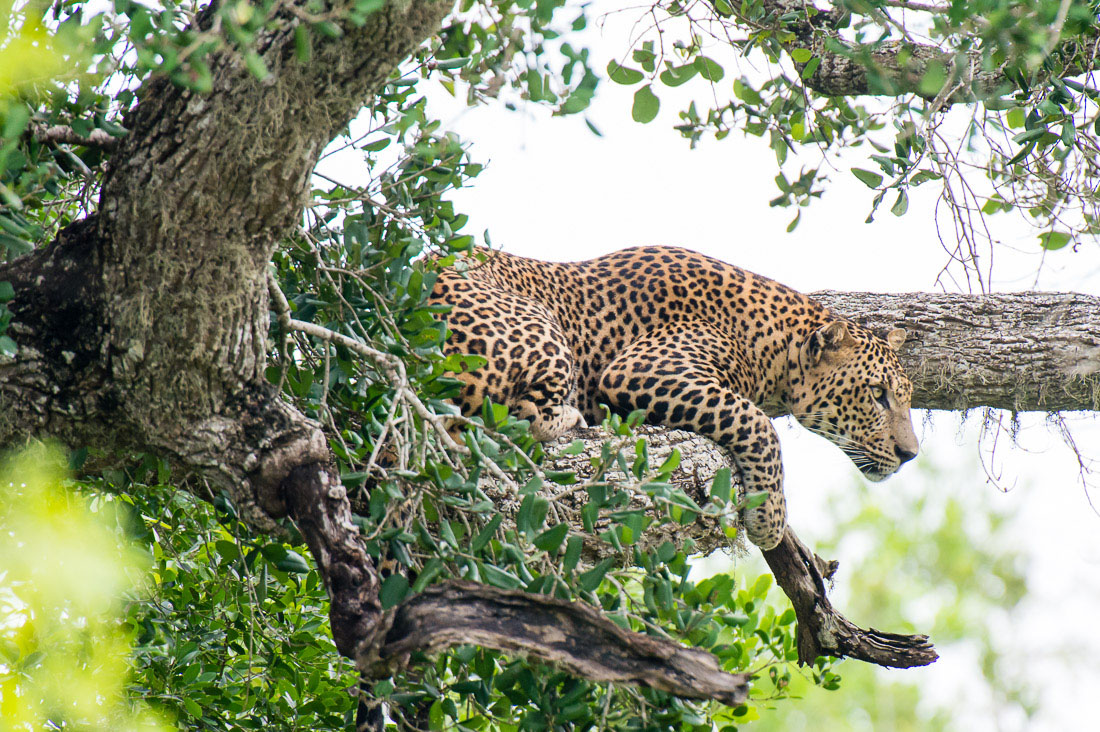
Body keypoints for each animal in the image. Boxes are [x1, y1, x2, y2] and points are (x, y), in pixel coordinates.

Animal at [429, 245, 919, 548]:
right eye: (877, 395)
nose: (910, 454)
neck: (775, 343)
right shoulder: (642, 369)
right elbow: (757, 422)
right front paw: (771, 520)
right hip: (542, 328)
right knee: (522, 416)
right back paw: (572, 418)